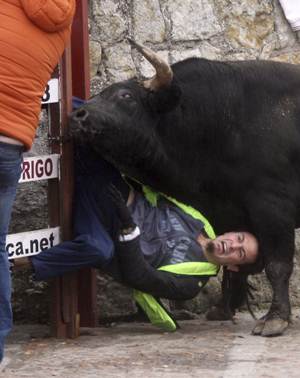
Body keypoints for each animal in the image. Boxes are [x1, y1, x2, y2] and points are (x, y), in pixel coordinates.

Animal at [69, 41, 300, 336]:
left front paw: (275, 318)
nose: (78, 115)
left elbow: (277, 264)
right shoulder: (226, 213)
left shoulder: (272, 207)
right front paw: (223, 308)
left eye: (126, 95)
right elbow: (235, 270)